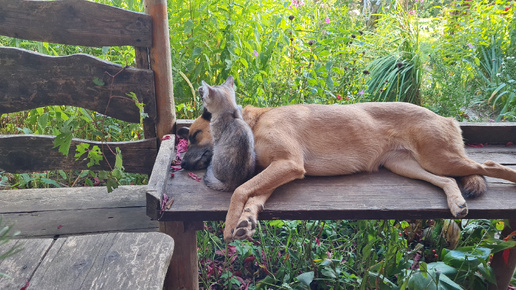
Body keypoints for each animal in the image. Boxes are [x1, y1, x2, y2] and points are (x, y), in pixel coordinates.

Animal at [179, 101, 516, 241]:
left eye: (194, 135)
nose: (181, 165)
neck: (256, 122)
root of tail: (446, 117)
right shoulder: (280, 169)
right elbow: (254, 196)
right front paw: (246, 220)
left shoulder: (288, 164)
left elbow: (240, 190)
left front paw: (229, 223)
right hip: (409, 166)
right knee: (448, 179)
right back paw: (456, 201)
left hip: (440, 157)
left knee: (490, 166)